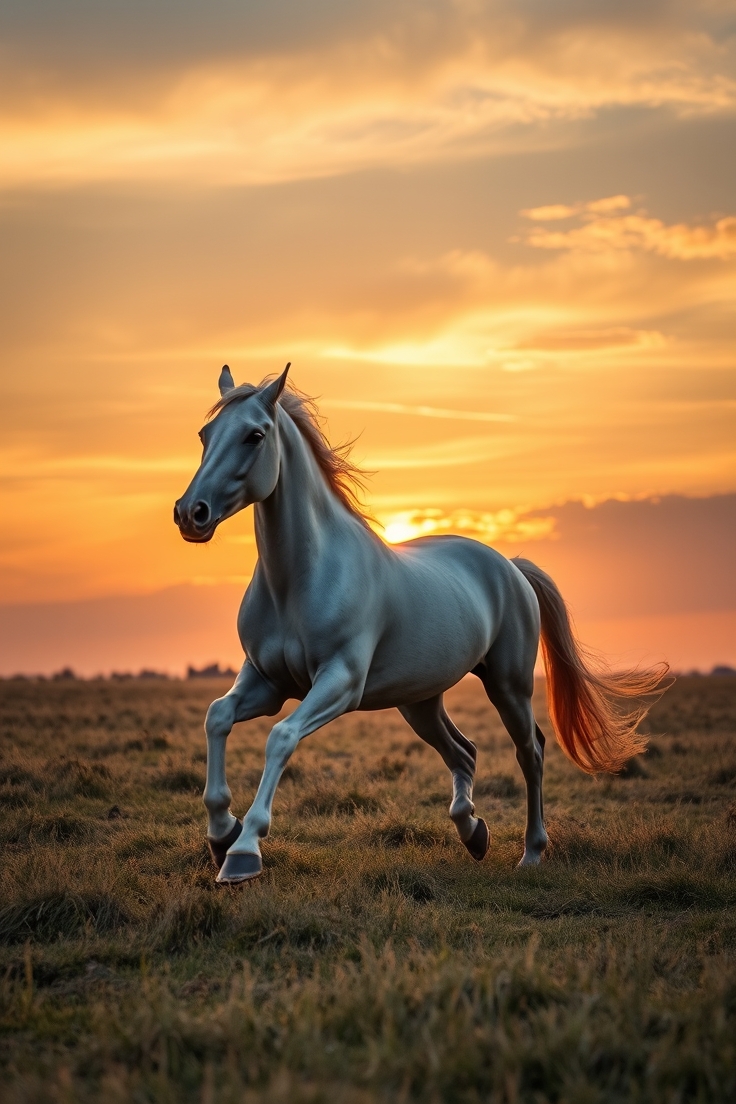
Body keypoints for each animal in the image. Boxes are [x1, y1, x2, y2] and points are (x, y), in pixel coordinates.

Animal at [174, 364, 667, 884]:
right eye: (206, 434)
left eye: (255, 435)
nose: (191, 513)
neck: (299, 580)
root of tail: (510, 566)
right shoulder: (266, 681)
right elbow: (217, 716)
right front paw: (220, 832)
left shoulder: (340, 683)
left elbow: (281, 737)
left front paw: (244, 850)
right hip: (419, 701)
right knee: (464, 751)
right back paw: (473, 833)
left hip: (508, 686)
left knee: (529, 751)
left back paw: (531, 852)